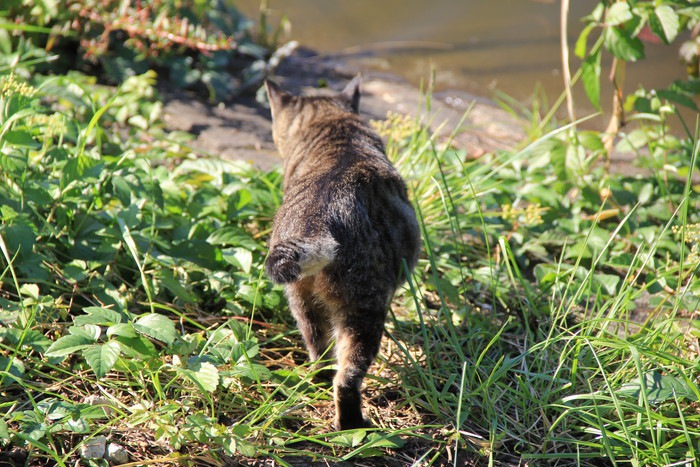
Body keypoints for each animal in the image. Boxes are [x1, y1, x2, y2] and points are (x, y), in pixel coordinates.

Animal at [262, 77, 416, 432]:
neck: (336, 131)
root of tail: (317, 220)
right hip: (363, 311)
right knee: (346, 379)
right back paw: (353, 424)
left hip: (302, 303)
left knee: (319, 354)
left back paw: (317, 382)